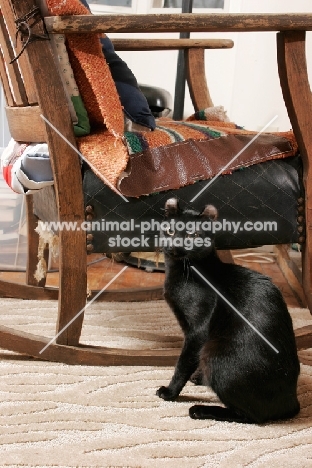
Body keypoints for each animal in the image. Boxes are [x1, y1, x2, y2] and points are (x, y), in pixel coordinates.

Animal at [157, 197, 302, 424]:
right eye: (170, 231)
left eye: (192, 235)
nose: (174, 246)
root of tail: (292, 402)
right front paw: (198, 377)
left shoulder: (197, 331)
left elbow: (183, 363)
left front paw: (170, 393)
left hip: (214, 354)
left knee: (250, 416)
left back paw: (200, 410)